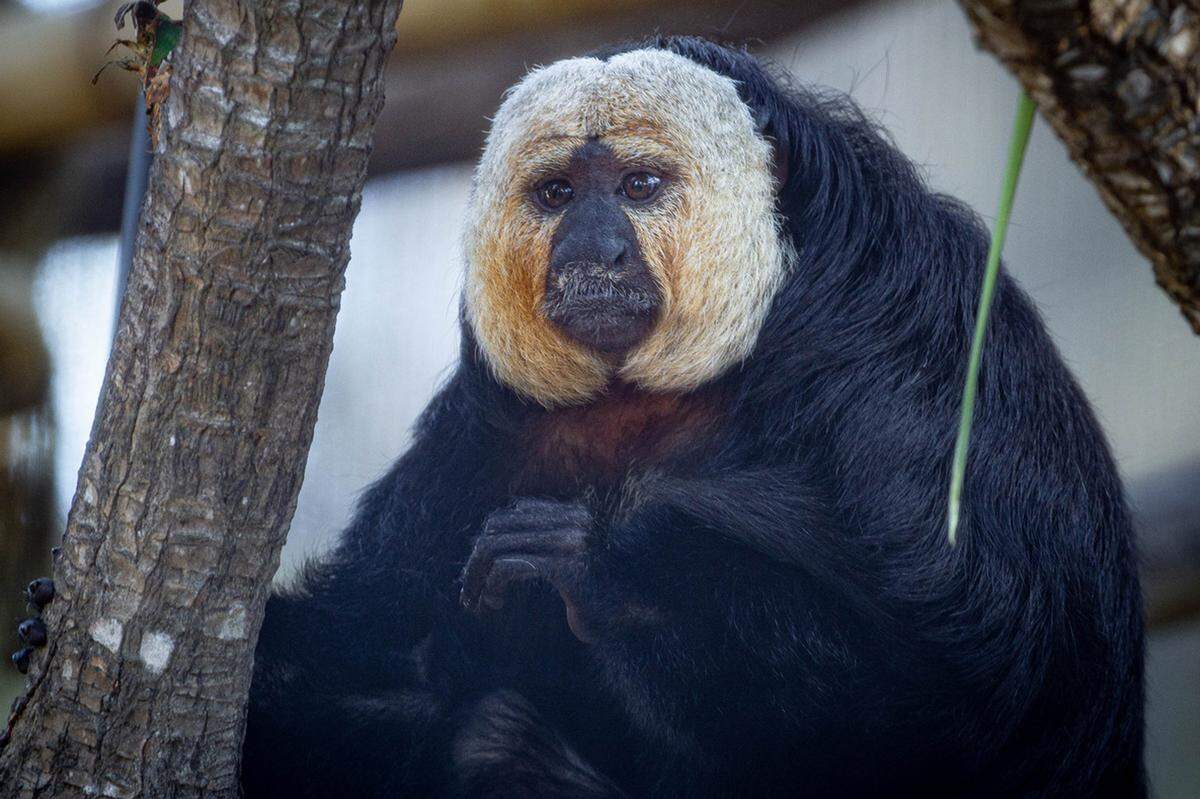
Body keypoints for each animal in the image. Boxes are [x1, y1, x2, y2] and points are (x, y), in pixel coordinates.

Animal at [16, 37, 1144, 798]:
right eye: (558, 195)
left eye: (640, 187)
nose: (593, 254)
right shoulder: (491, 422)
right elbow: (389, 641)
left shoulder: (912, 361)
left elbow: (976, 697)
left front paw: (605, 572)